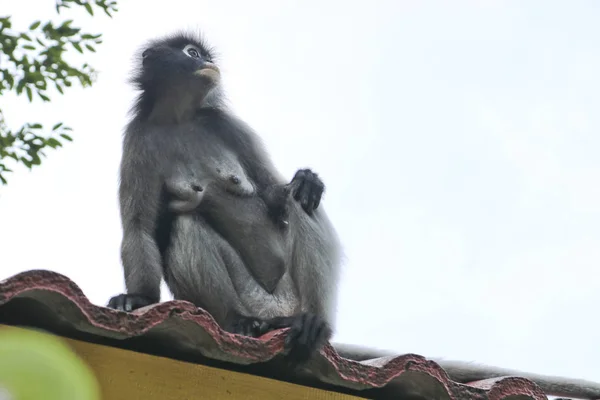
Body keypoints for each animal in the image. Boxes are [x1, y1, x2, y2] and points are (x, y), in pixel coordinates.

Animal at [106, 29, 600, 398]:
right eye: (191, 53)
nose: (207, 61)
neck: (179, 117)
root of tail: (278, 311)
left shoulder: (226, 123)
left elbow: (274, 195)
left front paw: (301, 180)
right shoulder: (138, 138)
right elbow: (140, 229)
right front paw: (138, 299)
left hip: (289, 291)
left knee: (300, 202)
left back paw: (313, 323)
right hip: (253, 297)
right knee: (184, 224)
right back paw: (241, 323)